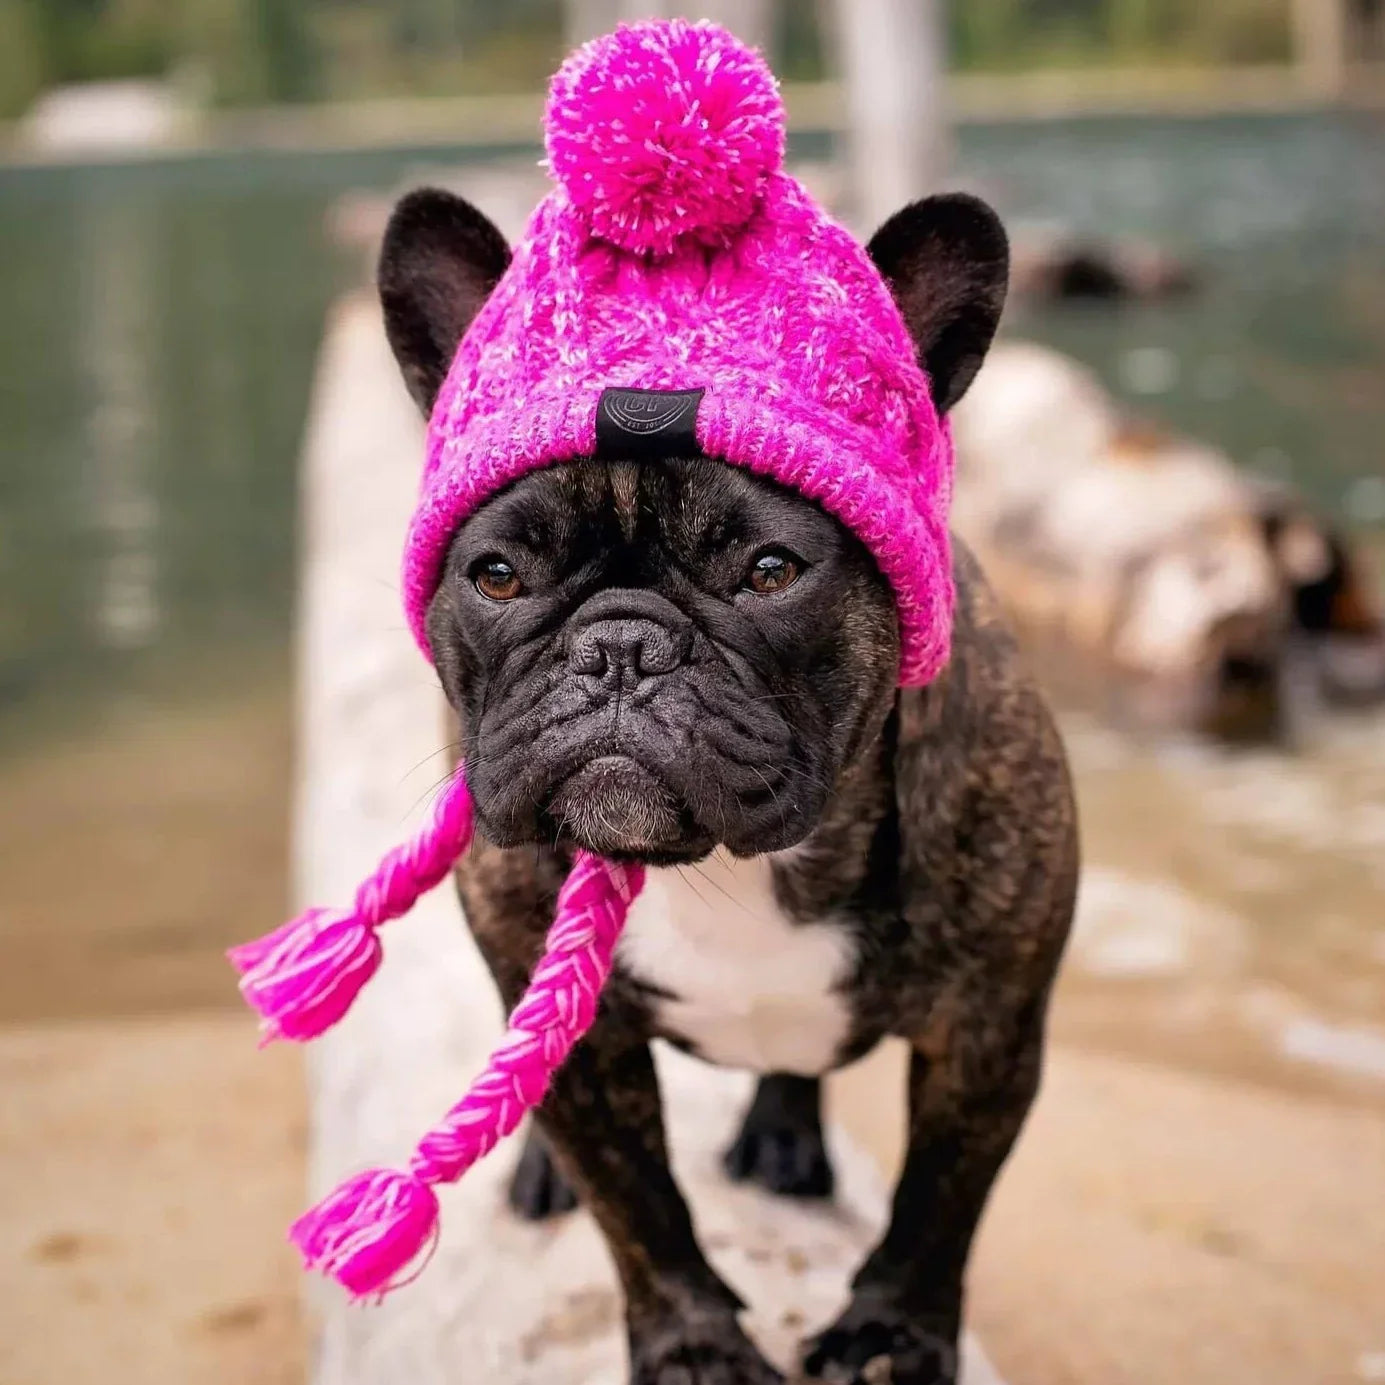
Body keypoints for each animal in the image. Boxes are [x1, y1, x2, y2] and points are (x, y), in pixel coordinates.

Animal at [379, 186, 1080, 1385]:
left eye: (769, 571)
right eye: (497, 575)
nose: (617, 647)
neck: (730, 866)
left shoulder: (988, 1037)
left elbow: (937, 1204)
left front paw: (889, 1334)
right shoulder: (583, 1044)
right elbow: (640, 1206)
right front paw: (693, 1343)